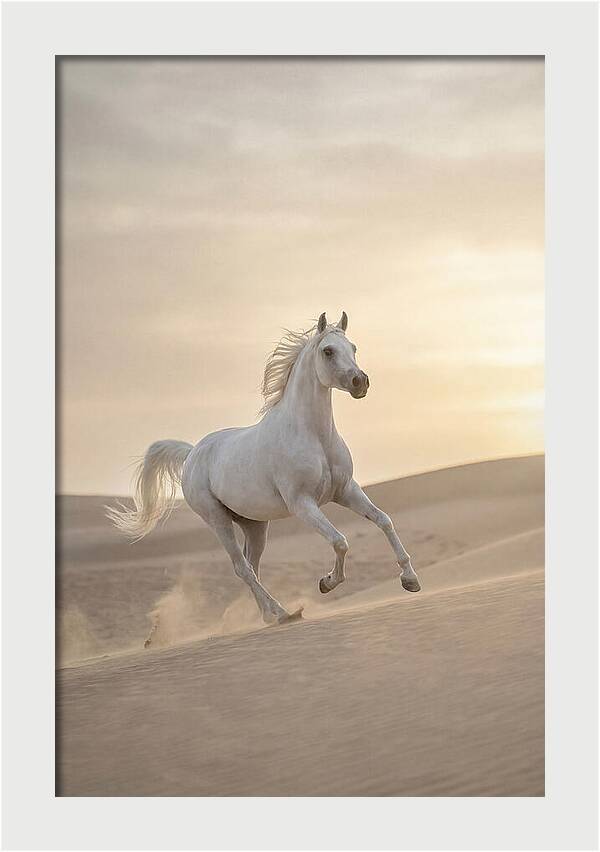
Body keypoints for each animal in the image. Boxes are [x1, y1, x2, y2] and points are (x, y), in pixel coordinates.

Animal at [107, 311, 421, 629]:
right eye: (328, 351)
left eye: (353, 348)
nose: (360, 382)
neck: (314, 435)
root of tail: (192, 452)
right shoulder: (302, 504)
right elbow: (339, 541)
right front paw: (327, 582)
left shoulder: (346, 491)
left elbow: (383, 520)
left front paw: (410, 580)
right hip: (217, 519)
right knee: (242, 568)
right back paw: (283, 612)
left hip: (255, 525)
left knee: (252, 565)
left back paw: (269, 615)